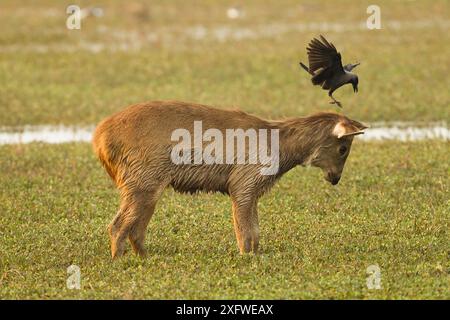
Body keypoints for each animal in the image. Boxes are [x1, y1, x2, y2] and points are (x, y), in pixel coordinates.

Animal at [93, 101, 368, 258]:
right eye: (344, 147)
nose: (335, 178)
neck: (283, 151)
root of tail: (99, 140)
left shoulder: (252, 189)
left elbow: (255, 232)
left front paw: (256, 255)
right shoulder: (243, 183)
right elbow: (245, 233)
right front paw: (246, 257)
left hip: (147, 186)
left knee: (135, 230)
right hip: (143, 181)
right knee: (117, 226)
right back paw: (118, 260)